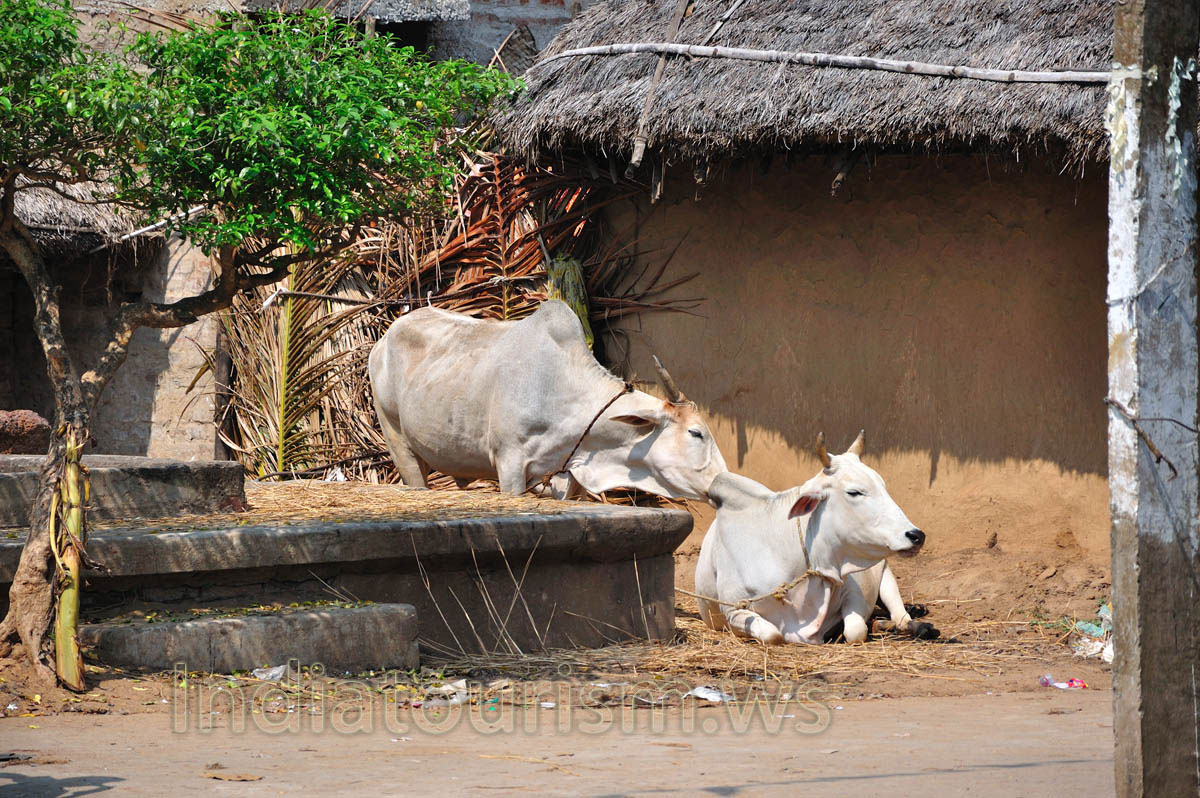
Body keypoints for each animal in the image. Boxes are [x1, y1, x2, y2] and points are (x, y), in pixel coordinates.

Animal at [367, 300, 728, 500]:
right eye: (696, 432)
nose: (723, 482)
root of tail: (381, 342)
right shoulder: (509, 463)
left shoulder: (566, 475)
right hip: (397, 437)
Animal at [694, 431, 937, 644]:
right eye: (854, 492)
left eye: (883, 486)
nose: (916, 535)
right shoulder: (733, 610)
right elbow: (773, 635)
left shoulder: (854, 591)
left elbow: (856, 630)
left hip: (885, 572)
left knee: (900, 615)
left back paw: (917, 625)